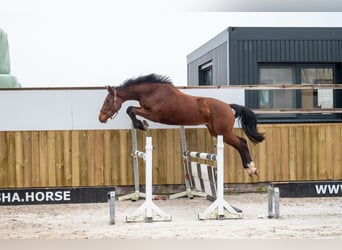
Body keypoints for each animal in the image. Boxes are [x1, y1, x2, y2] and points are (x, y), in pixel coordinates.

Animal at [99, 73, 264, 176]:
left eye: (107, 100)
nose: (101, 118)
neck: (152, 91)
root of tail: (228, 106)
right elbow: (131, 109)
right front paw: (141, 124)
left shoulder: (155, 115)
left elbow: (130, 109)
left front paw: (142, 125)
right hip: (216, 132)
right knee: (240, 144)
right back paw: (250, 169)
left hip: (223, 132)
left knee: (242, 143)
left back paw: (251, 169)